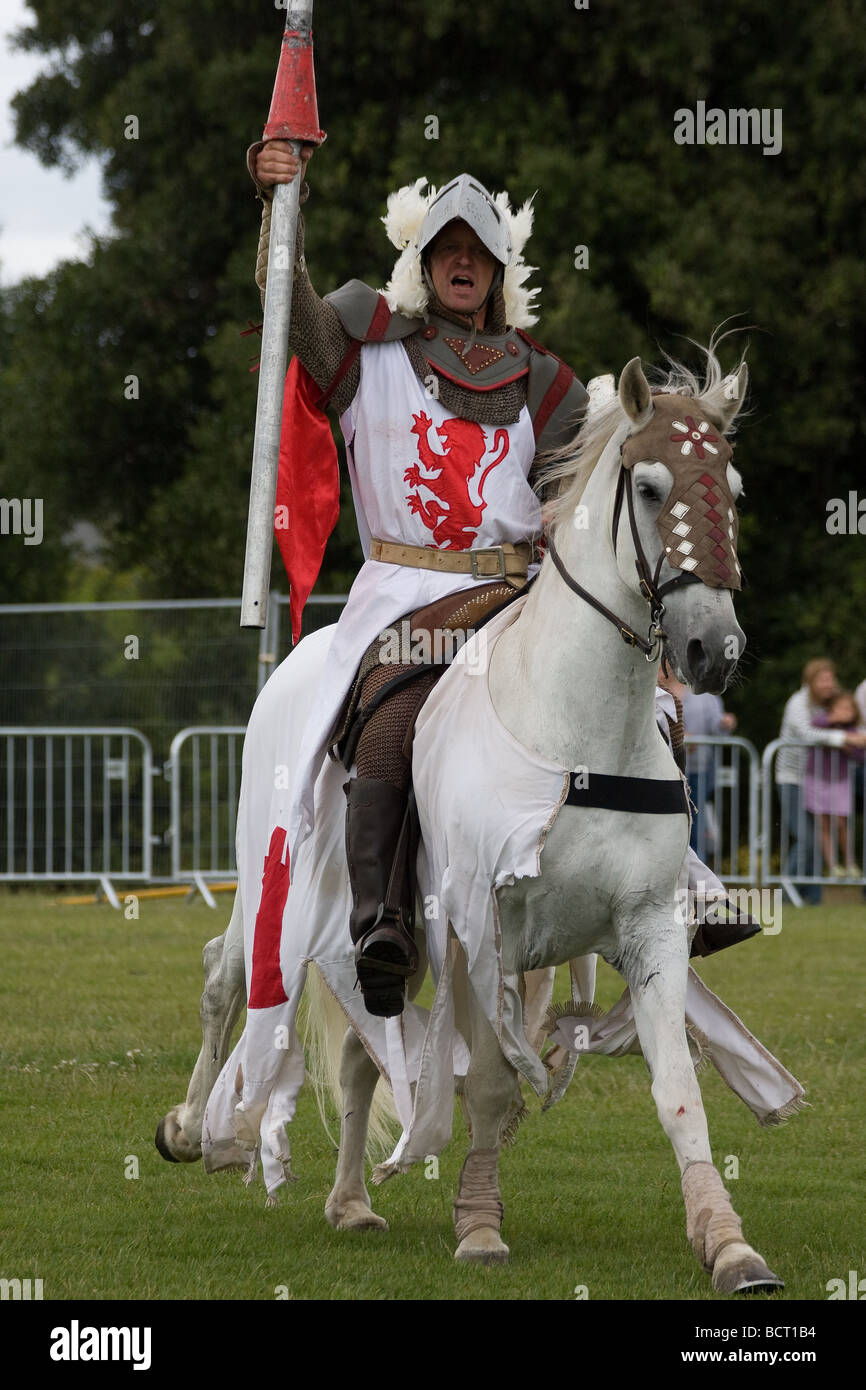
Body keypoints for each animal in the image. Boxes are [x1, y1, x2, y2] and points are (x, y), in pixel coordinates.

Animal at [157, 344, 783, 1289]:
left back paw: (350, 1202)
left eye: (735, 488)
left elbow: (678, 1090)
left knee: (360, 1047)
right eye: (648, 486)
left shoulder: (649, 928)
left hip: (384, 932)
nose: (716, 649)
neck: (574, 724)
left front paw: (729, 1244)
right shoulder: (483, 928)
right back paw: (196, 1130)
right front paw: (481, 1229)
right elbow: (488, 1085)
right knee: (225, 976)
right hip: (279, 880)